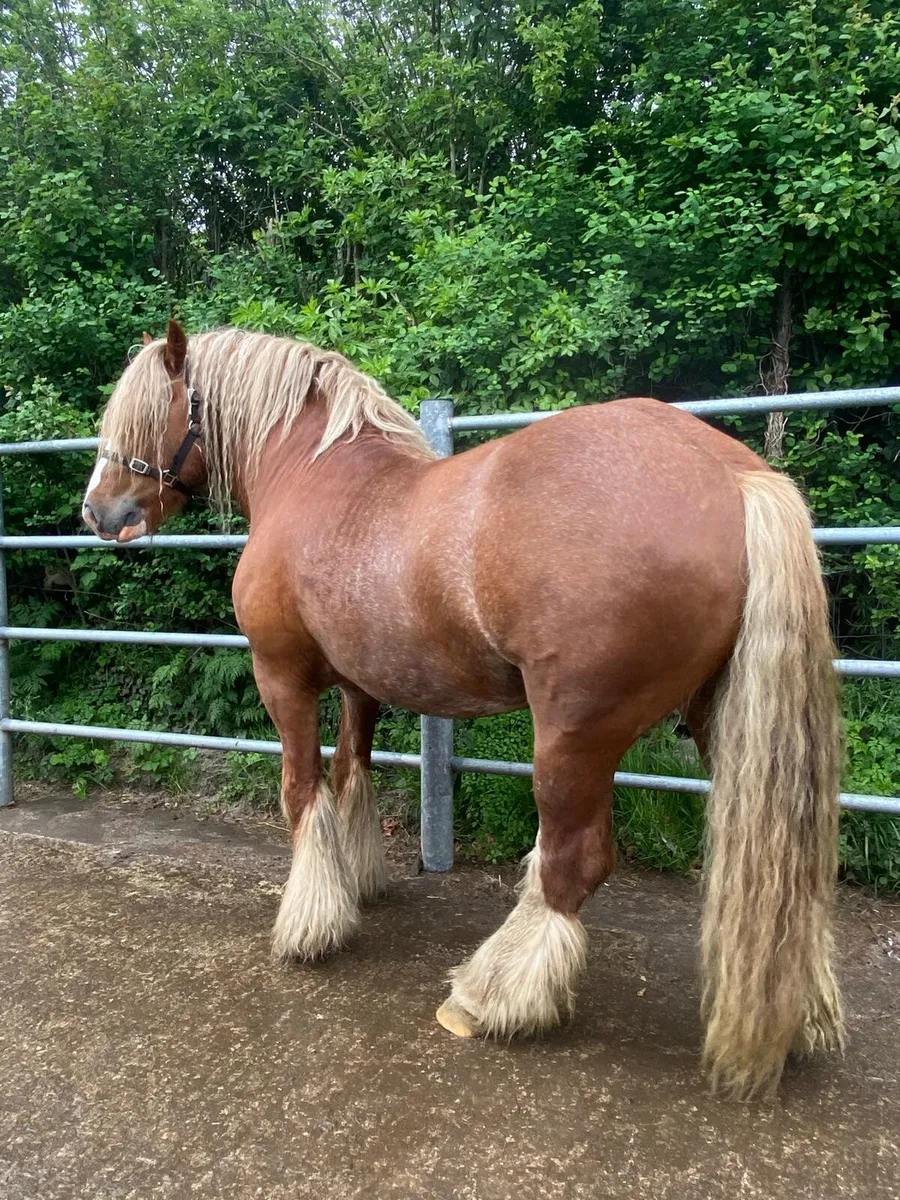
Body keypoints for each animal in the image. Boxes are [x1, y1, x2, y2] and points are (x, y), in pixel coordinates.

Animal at [81, 319, 844, 1099]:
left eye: (145, 409)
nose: (99, 510)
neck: (310, 474)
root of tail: (737, 478)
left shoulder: (283, 677)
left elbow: (302, 790)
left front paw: (308, 925)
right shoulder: (361, 684)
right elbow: (352, 774)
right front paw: (357, 884)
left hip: (574, 735)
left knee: (573, 860)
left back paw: (489, 996)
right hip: (721, 722)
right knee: (785, 874)